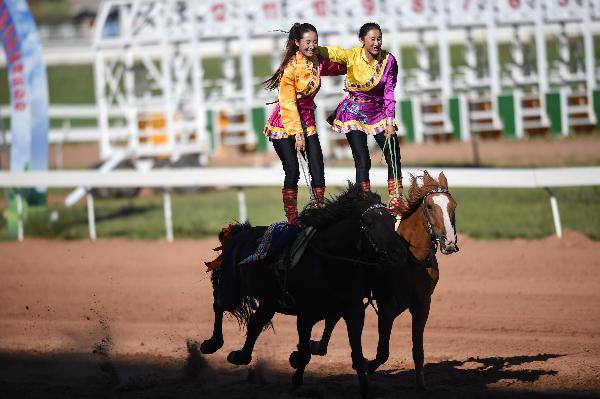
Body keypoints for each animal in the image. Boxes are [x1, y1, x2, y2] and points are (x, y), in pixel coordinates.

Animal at [200, 185, 404, 399]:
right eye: (370, 224)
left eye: (392, 221)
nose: (399, 254)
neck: (329, 263)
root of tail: (241, 232)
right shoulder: (305, 316)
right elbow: (305, 353)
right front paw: (296, 381)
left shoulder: (353, 311)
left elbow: (356, 355)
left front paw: (366, 390)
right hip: (232, 289)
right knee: (219, 303)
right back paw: (212, 343)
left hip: (269, 301)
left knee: (255, 322)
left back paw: (240, 356)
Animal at [310, 170, 460, 392]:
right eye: (430, 206)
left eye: (453, 206)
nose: (449, 242)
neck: (410, 259)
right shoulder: (387, 305)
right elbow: (383, 352)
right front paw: (363, 365)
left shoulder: (422, 304)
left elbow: (418, 350)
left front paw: (421, 386)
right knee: (331, 317)